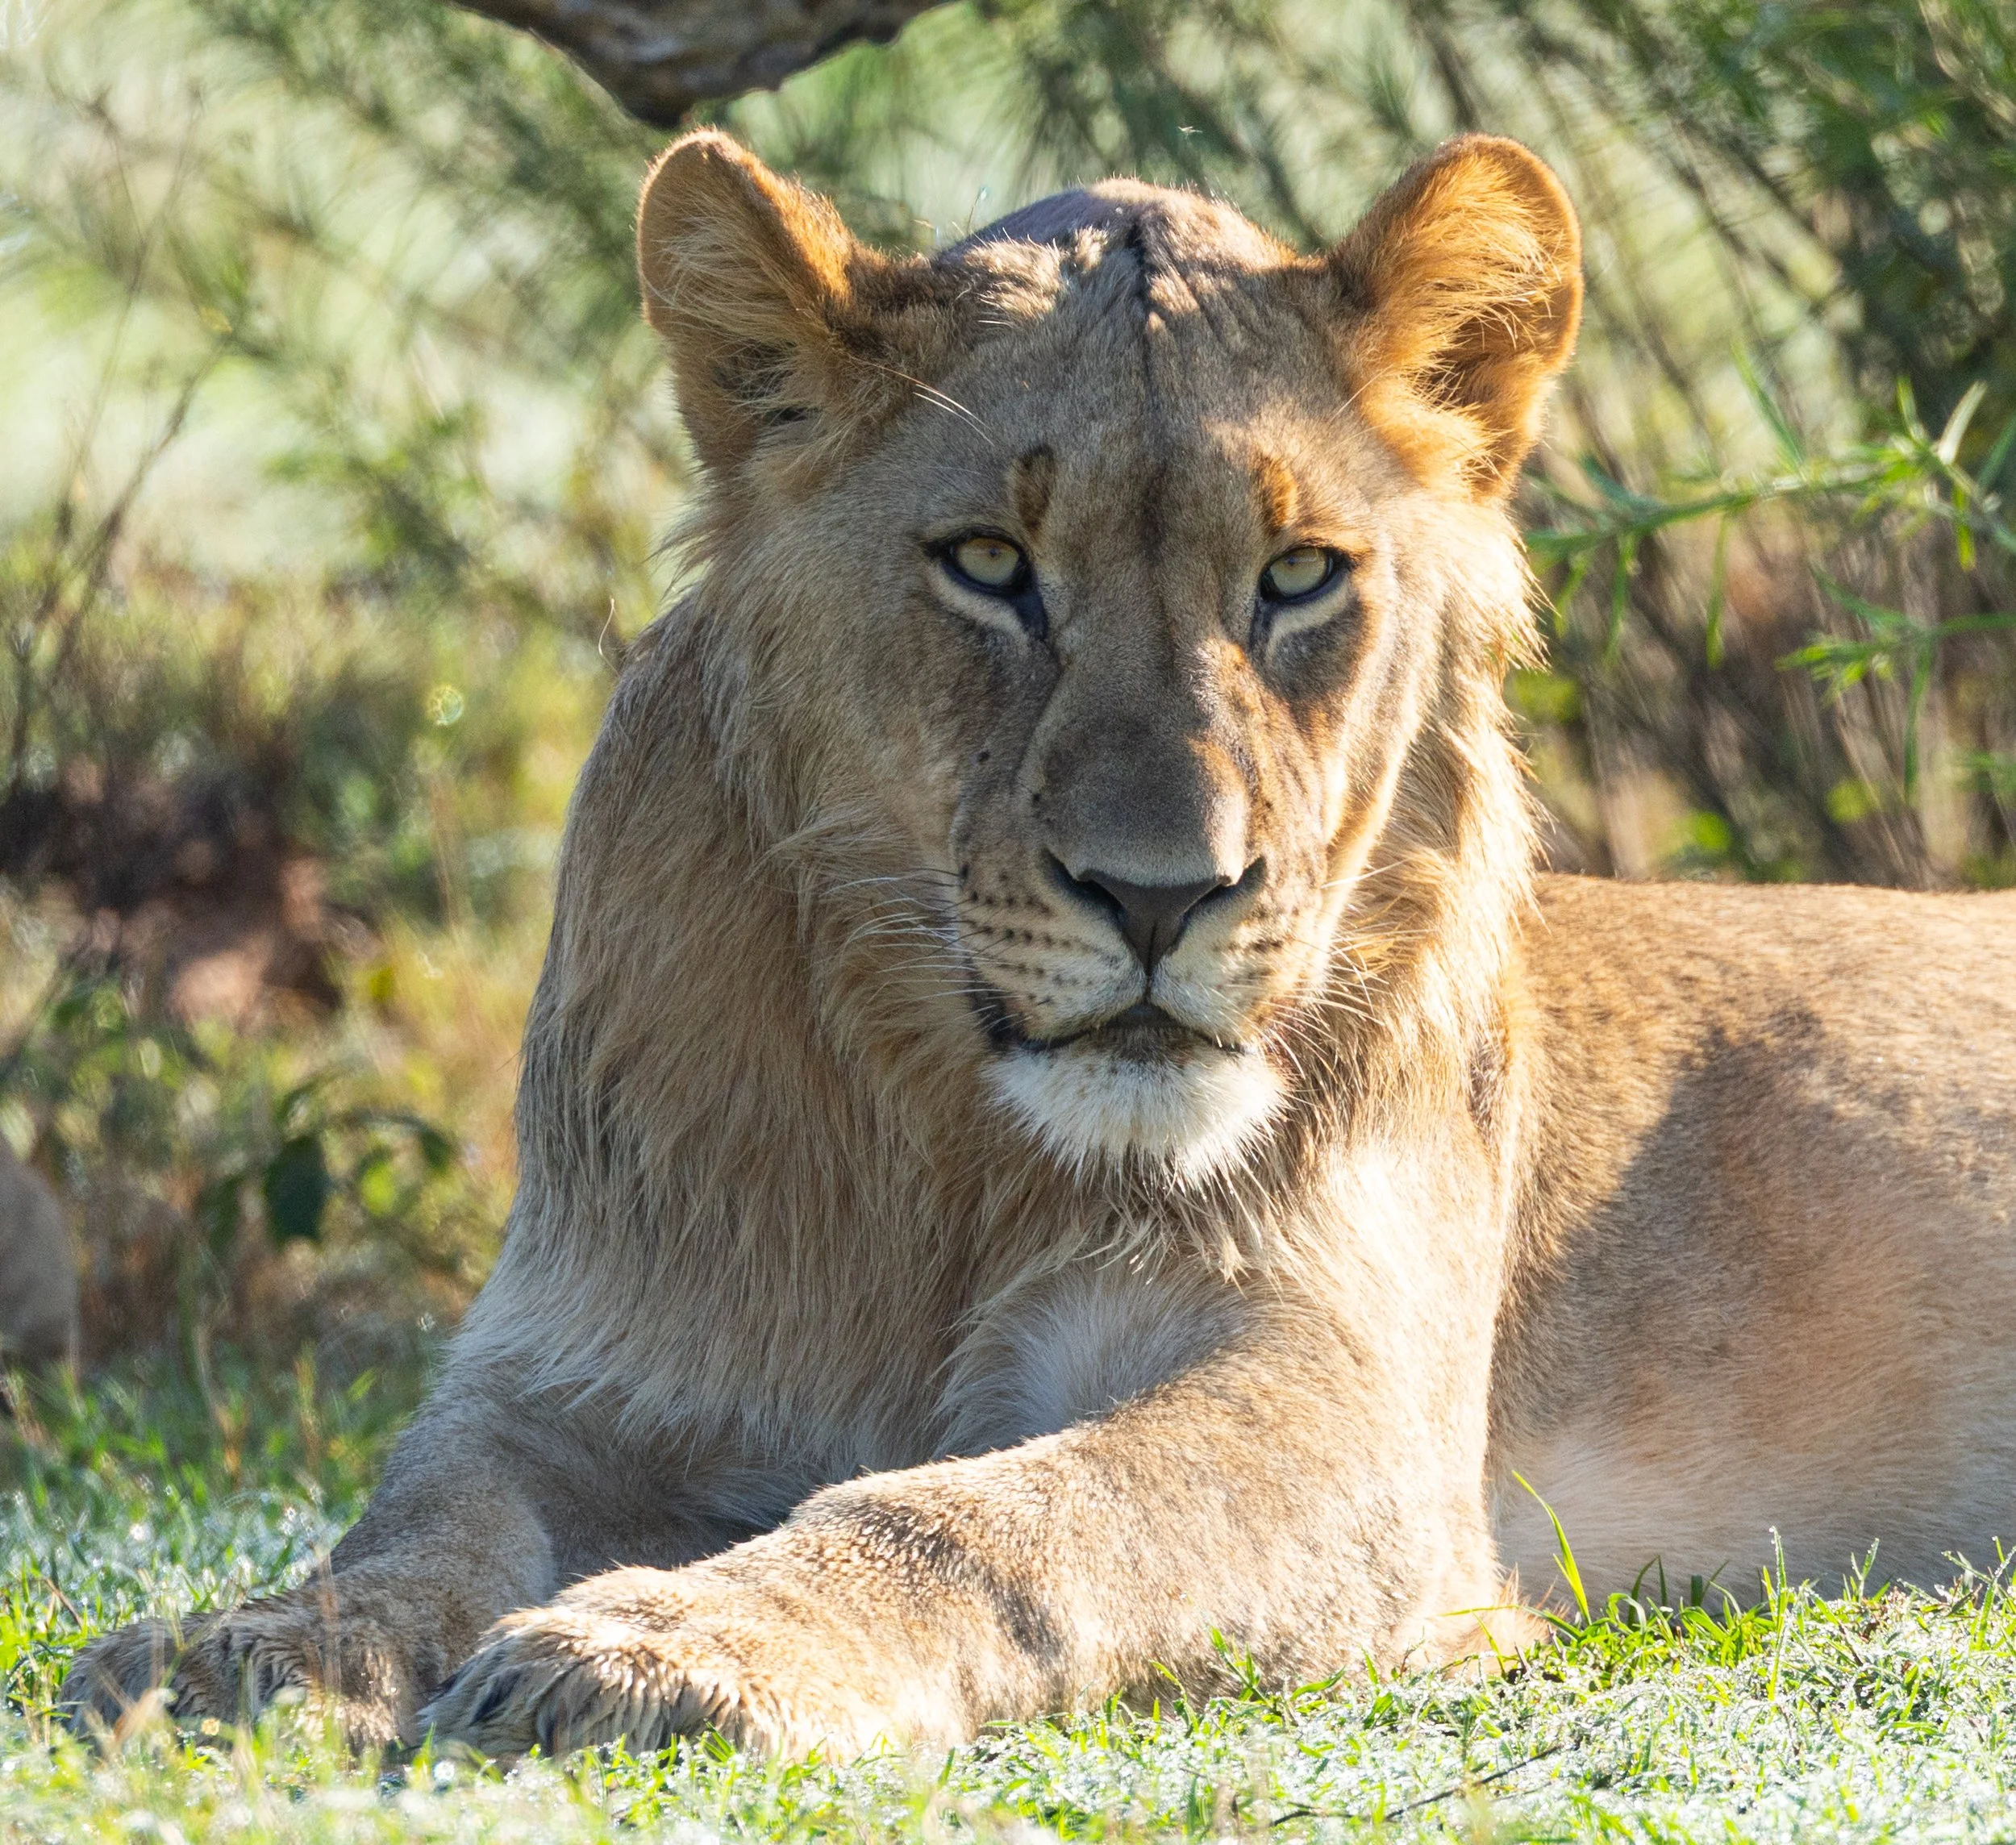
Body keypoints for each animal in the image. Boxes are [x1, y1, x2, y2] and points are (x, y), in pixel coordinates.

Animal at [62, 130, 2016, 1759]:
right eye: (990, 564)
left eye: (1296, 576)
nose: (1159, 894)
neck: (954, 1156)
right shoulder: (576, 1365)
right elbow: (423, 1518)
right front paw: (247, 1644)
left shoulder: (1358, 1419)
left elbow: (995, 1512)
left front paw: (669, 1648)